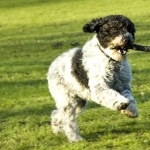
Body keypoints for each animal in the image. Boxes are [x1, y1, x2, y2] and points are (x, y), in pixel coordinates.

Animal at [47, 14, 139, 142]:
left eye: (130, 30)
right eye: (114, 29)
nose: (127, 40)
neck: (110, 59)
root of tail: (53, 65)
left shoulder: (123, 84)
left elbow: (130, 98)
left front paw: (131, 110)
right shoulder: (99, 87)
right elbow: (111, 95)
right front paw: (120, 103)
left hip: (79, 101)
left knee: (58, 114)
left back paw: (57, 127)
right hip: (67, 99)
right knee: (68, 120)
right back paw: (75, 139)